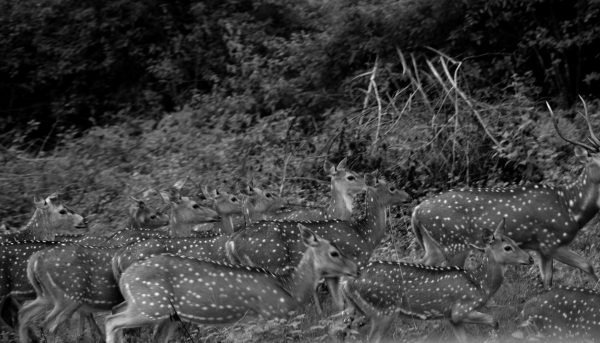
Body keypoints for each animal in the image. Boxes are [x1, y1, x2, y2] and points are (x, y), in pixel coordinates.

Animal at [104, 226, 356, 343]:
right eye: (334, 252)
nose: (355, 269)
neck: (289, 290)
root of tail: (124, 275)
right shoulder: (268, 315)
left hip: (163, 314)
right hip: (151, 305)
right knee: (111, 320)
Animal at [227, 173, 410, 310]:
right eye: (392, 187)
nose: (408, 196)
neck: (366, 235)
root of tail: (232, 242)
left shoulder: (332, 274)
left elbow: (338, 304)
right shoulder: (357, 261)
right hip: (269, 262)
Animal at [342, 220, 536, 343]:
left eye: (515, 242)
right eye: (508, 247)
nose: (530, 258)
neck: (480, 285)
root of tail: (348, 282)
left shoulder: (451, 317)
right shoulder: (460, 309)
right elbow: (495, 321)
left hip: (357, 311)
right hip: (384, 309)